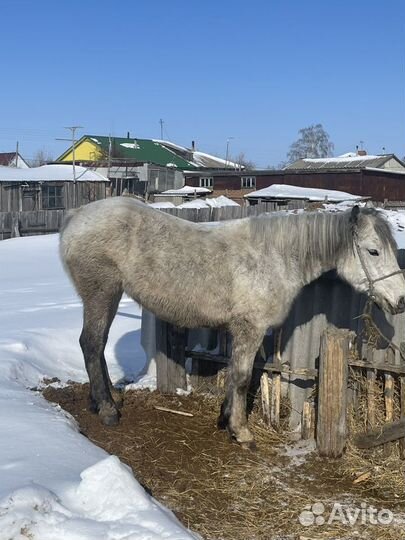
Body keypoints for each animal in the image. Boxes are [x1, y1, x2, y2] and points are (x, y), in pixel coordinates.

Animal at [59, 198, 404, 448]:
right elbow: (240, 377)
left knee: (97, 346)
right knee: (91, 344)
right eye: (373, 251)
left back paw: (105, 400)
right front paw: (241, 432)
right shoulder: (250, 328)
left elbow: (239, 375)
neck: (275, 257)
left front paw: (225, 419)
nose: (400, 300)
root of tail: (77, 216)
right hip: (102, 292)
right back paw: (107, 409)